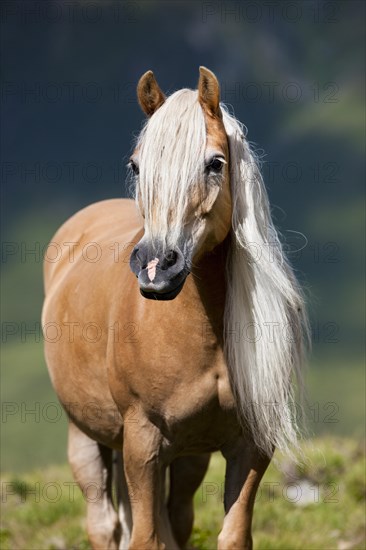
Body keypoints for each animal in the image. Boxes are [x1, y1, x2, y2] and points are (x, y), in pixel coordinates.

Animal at [41, 67, 308, 548]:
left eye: (215, 163)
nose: (156, 268)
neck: (203, 335)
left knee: (177, 518)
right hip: (87, 436)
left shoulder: (250, 446)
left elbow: (231, 534)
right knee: (104, 524)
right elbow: (146, 538)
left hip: (186, 457)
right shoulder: (143, 440)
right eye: (136, 165)